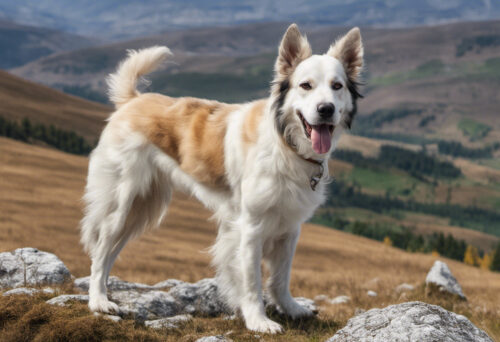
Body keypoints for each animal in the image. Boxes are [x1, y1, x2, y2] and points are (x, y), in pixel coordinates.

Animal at [81, 24, 364, 334]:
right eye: (306, 86)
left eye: (337, 86)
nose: (326, 109)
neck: (285, 145)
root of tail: (133, 100)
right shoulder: (251, 228)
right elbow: (252, 282)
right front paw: (258, 320)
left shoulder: (290, 227)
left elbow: (281, 277)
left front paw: (290, 308)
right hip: (121, 204)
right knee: (100, 250)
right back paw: (98, 301)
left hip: (142, 209)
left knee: (110, 252)